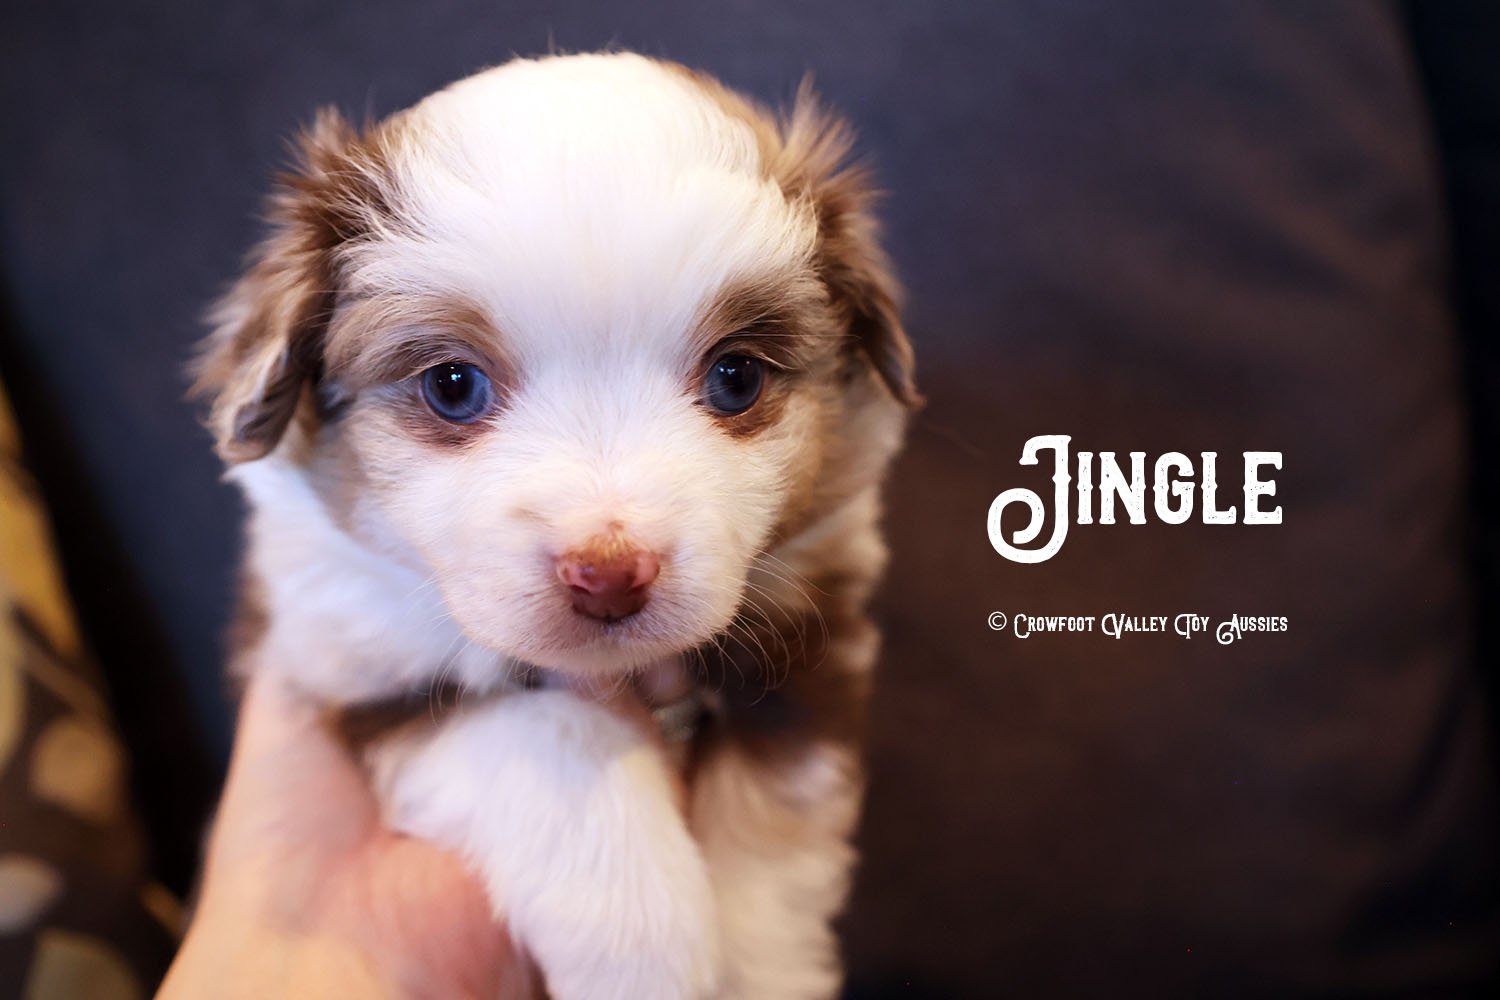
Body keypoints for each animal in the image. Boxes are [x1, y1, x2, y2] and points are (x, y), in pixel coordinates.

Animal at [195, 52, 918, 1000]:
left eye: (736, 376)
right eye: (453, 385)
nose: (609, 573)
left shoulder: (808, 638)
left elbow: (770, 837)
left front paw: (752, 962)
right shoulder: (353, 654)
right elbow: (550, 738)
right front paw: (643, 945)